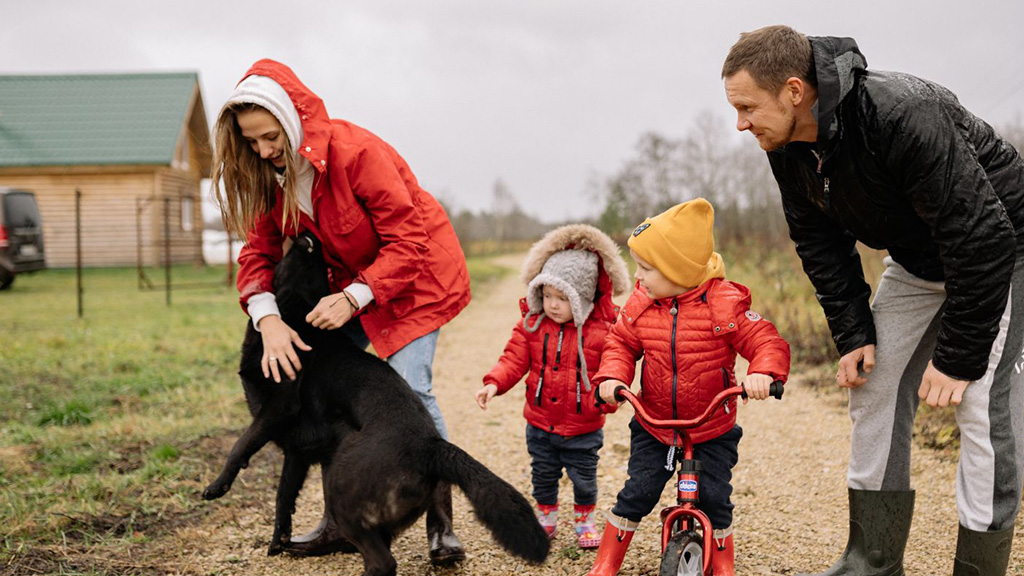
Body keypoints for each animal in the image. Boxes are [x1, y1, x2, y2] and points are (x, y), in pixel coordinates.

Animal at [201, 230, 552, 569]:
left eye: (312, 260)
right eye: (321, 270)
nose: (310, 236)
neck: (297, 319)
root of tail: (430, 445)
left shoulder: (278, 408)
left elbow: (241, 445)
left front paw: (217, 485)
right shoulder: (297, 453)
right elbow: (283, 497)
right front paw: (278, 540)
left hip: (342, 485)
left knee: (382, 562)